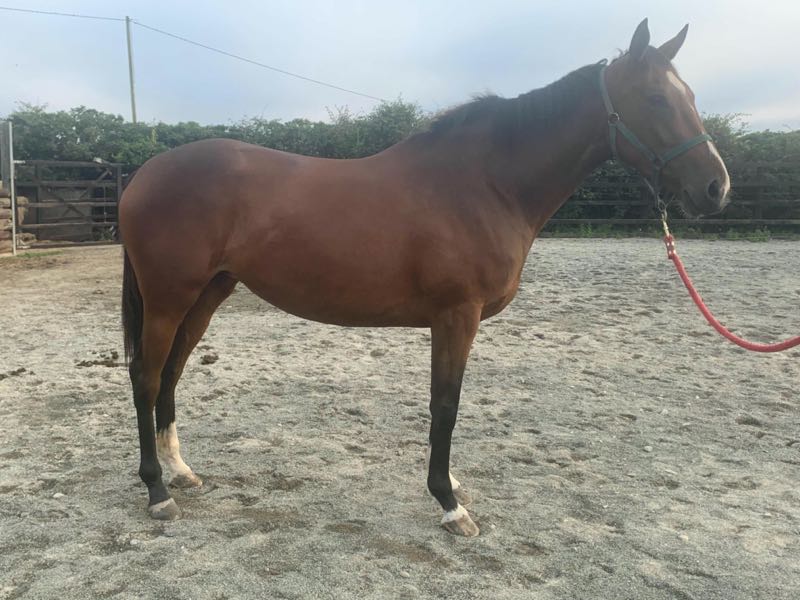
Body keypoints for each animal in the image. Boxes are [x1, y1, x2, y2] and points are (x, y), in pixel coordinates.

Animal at [119, 19, 730, 536]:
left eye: (693, 99)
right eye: (656, 99)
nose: (716, 187)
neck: (486, 184)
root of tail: (145, 173)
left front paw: (451, 486)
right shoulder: (457, 316)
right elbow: (446, 405)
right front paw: (449, 503)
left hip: (207, 293)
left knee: (171, 372)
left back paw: (180, 471)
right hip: (170, 297)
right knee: (146, 376)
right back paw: (157, 492)